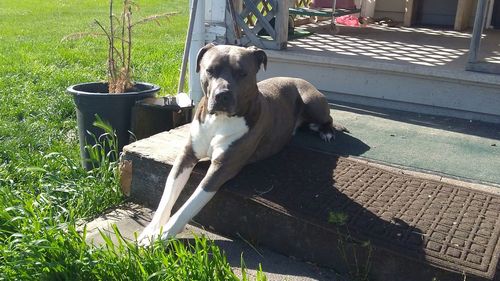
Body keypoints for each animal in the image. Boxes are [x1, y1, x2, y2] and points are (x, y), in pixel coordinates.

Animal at [138, 43, 348, 245]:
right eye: (210, 70)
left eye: (242, 73)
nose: (222, 95)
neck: (219, 120)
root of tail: (295, 78)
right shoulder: (186, 156)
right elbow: (168, 194)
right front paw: (151, 230)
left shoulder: (223, 167)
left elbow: (192, 203)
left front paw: (163, 235)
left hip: (312, 102)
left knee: (328, 118)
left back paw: (327, 131)